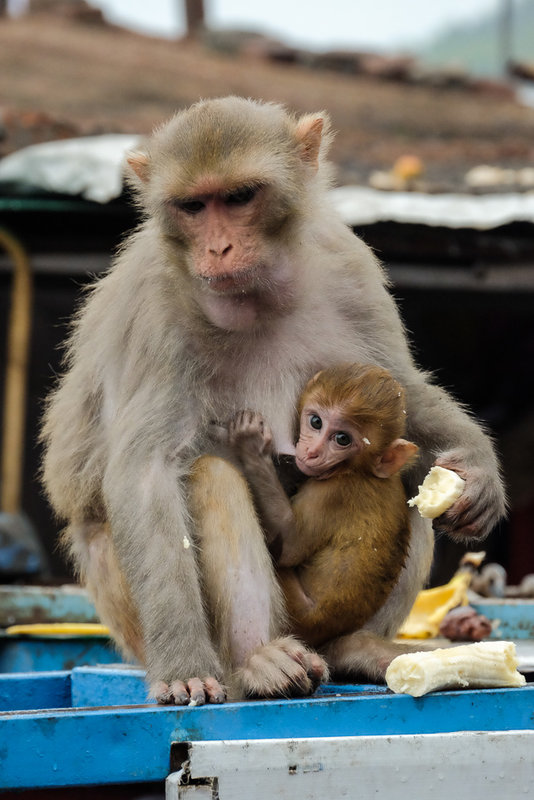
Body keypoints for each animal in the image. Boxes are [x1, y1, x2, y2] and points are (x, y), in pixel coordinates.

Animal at [226, 366, 418, 648]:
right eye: (316, 422)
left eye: (342, 439)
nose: (313, 451)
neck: (358, 471)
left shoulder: (332, 494)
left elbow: (289, 545)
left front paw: (253, 445)